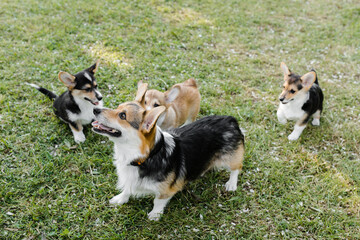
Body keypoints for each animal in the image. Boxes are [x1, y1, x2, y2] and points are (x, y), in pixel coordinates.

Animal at [91, 87, 246, 220]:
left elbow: (158, 201)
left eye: (122, 115)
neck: (146, 157)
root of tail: (230, 119)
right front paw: (120, 199)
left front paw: (155, 215)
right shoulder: (130, 179)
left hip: (230, 157)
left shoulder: (167, 190)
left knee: (236, 168)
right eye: (117, 108)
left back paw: (231, 184)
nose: (95, 109)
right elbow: (127, 190)